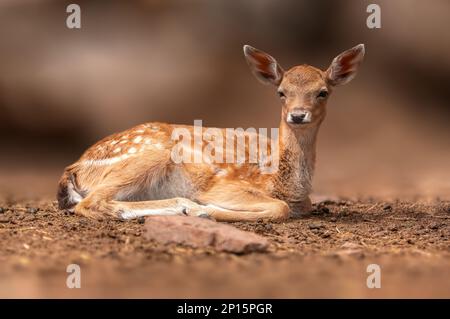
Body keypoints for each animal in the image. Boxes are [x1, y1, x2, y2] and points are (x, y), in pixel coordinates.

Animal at [57, 43, 366, 221]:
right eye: (281, 92)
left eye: (323, 92)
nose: (298, 115)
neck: (280, 182)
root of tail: (75, 168)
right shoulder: (224, 186)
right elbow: (279, 208)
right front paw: (201, 209)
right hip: (149, 156)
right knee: (90, 203)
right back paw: (181, 206)